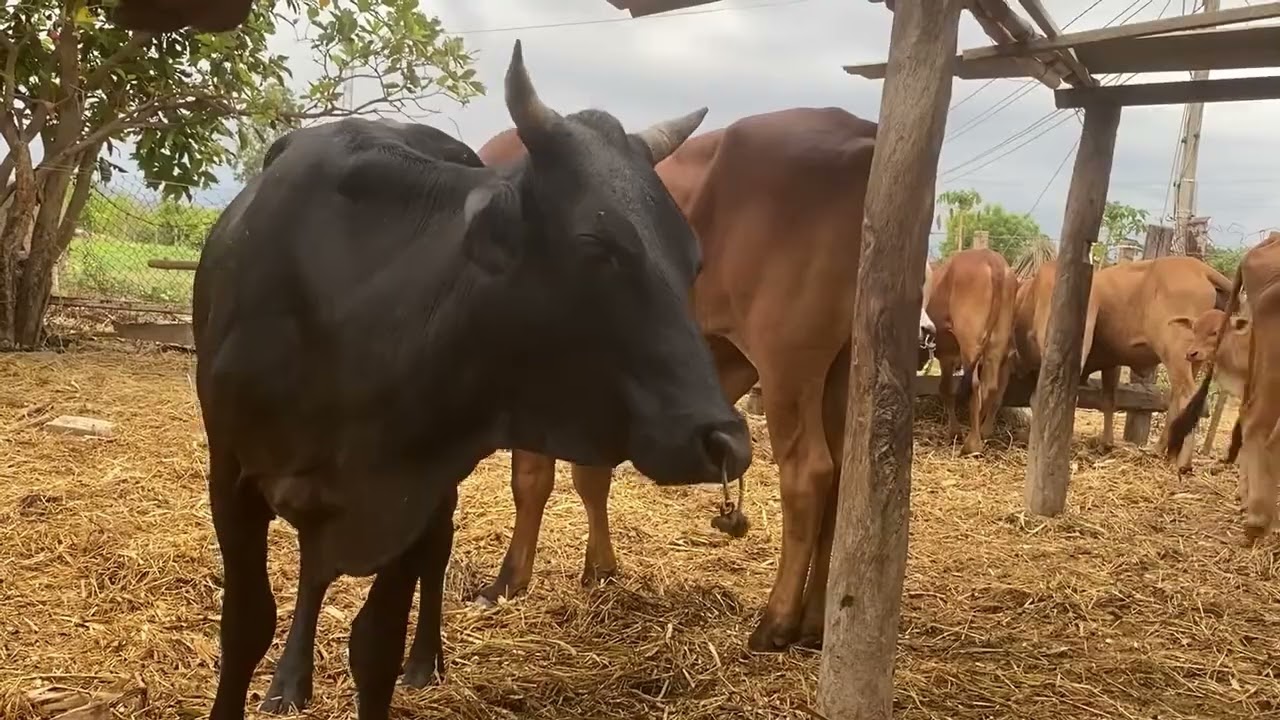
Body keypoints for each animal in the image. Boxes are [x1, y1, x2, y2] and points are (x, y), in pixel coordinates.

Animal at [193, 40, 752, 720]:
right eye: (596, 243)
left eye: (693, 259)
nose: (727, 441)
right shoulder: (232, 473)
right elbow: (247, 625)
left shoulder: (418, 485)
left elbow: (375, 644)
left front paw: (401, 658)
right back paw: (290, 679)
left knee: (428, 553)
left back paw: (423, 661)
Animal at [467, 106, 936, 653]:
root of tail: (862, 133)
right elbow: (590, 477)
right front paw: (599, 569)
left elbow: (532, 480)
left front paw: (508, 580)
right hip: (842, 369)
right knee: (844, 479)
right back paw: (816, 622)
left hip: (787, 364)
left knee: (809, 474)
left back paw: (775, 623)